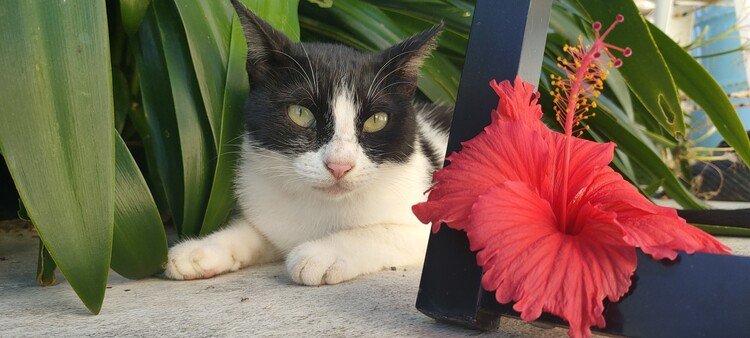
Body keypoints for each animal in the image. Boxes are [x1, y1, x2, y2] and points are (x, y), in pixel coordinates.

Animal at [164, 0, 452, 286]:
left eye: (376, 120)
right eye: (300, 113)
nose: (339, 165)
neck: (322, 207)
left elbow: (383, 232)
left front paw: (323, 252)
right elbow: (259, 231)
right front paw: (203, 249)